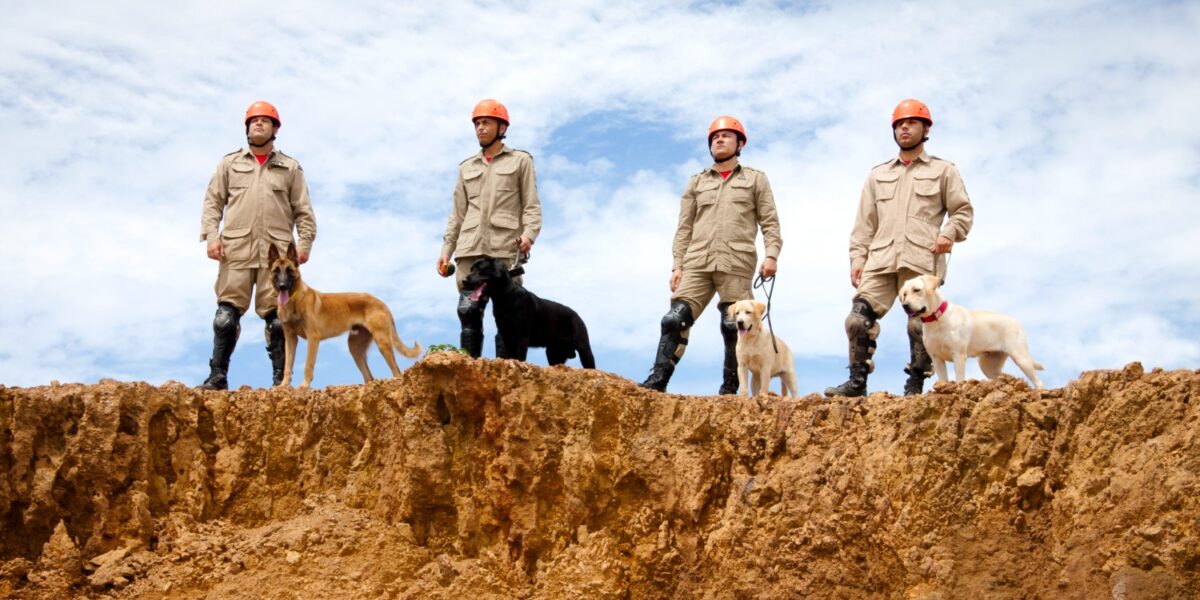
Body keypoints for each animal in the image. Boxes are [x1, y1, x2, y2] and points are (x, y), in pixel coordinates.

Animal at [268, 241, 422, 386]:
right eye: (276, 271)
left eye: (289, 270)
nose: (282, 286)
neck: (293, 300)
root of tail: (382, 303)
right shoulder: (290, 338)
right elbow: (288, 365)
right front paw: (283, 385)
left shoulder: (313, 337)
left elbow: (308, 365)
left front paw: (304, 386)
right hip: (355, 347)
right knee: (369, 377)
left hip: (382, 343)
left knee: (397, 371)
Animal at [458, 256, 595, 367]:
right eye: (471, 269)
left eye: (480, 269)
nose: (464, 281)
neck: (504, 297)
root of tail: (576, 315)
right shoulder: (506, 335)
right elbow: (510, 355)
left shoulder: (522, 336)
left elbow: (520, 357)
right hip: (553, 353)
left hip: (584, 349)